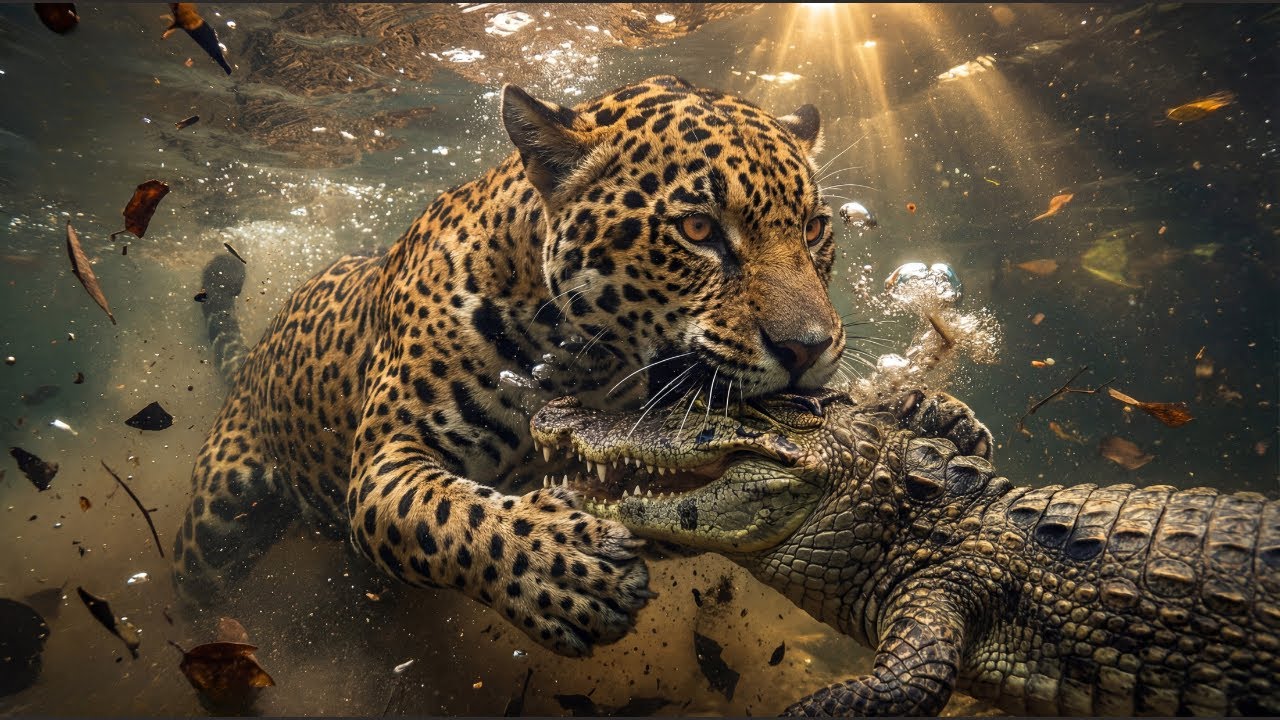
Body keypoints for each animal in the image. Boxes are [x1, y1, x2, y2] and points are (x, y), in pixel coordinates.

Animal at [172, 75, 847, 658]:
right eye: (698, 228)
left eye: (815, 228)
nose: (810, 349)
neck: (586, 359)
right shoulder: (384, 460)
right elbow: (448, 514)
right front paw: (565, 570)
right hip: (216, 518)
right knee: (193, 578)